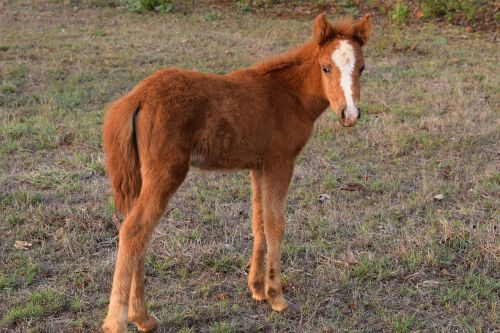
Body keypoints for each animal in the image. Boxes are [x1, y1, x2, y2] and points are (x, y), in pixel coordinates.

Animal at [101, 13, 372, 332]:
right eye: (326, 67)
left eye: (362, 67)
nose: (349, 114)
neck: (289, 94)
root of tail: (138, 97)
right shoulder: (281, 162)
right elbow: (275, 224)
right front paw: (276, 296)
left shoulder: (258, 166)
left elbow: (258, 222)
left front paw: (257, 289)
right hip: (166, 174)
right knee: (134, 231)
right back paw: (119, 322)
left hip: (144, 177)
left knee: (139, 236)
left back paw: (143, 317)